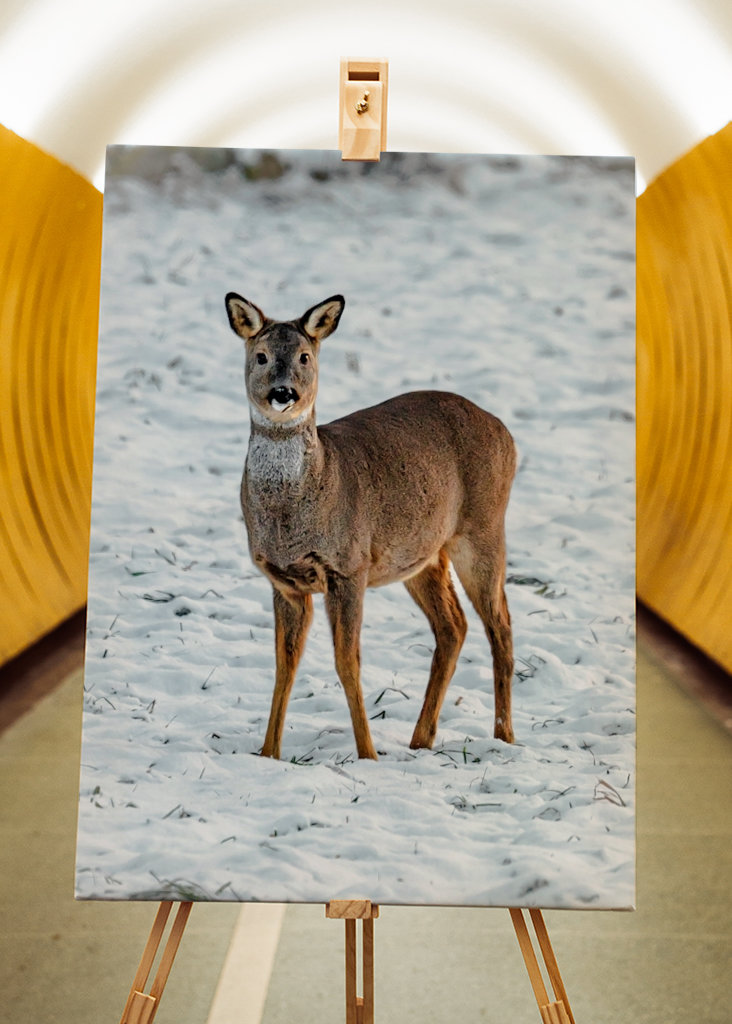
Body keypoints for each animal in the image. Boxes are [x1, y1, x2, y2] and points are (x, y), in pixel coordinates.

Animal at [225, 292, 516, 761]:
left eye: (305, 356)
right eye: (261, 355)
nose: (283, 393)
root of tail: (505, 431)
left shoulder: (349, 566)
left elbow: (347, 661)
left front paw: (368, 754)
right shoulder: (283, 580)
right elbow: (284, 665)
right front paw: (268, 753)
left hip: (483, 529)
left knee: (501, 625)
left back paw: (504, 736)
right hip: (421, 555)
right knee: (454, 627)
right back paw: (421, 738)